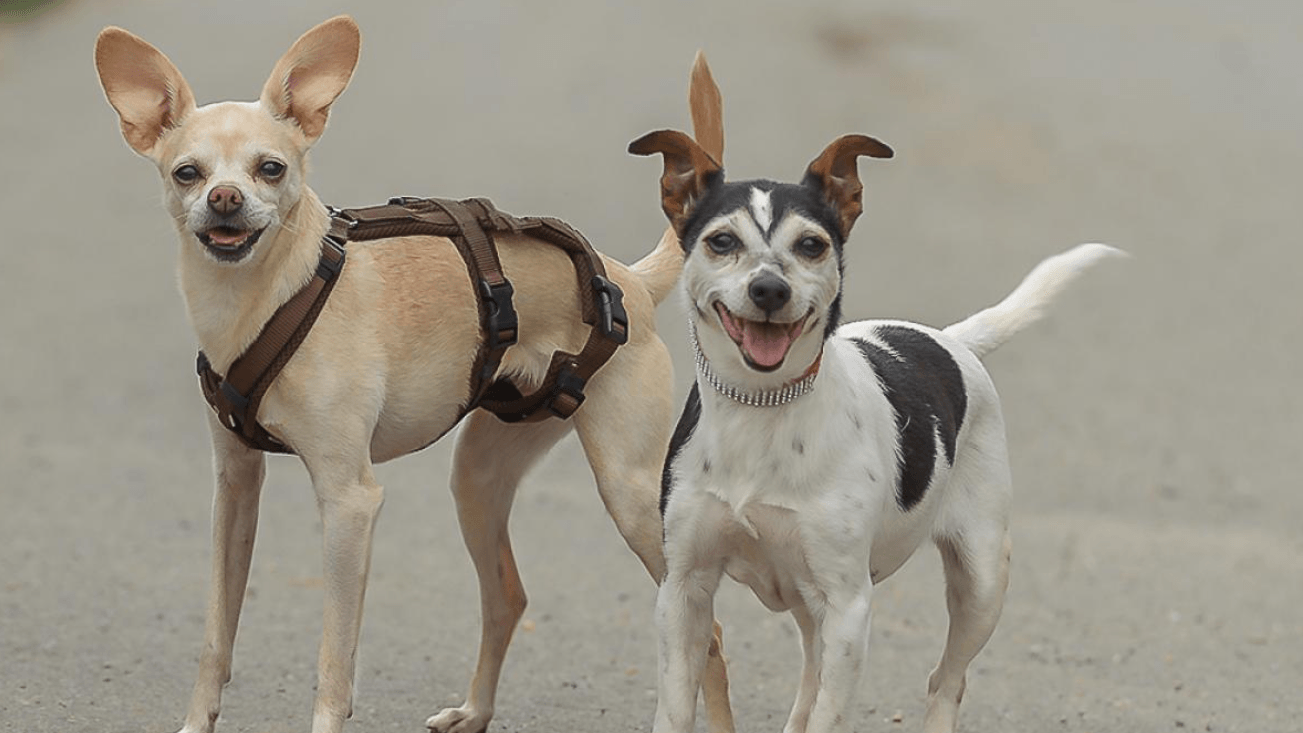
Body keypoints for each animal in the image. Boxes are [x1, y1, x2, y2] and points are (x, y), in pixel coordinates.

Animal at [630, 106, 1120, 729]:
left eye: (811, 245)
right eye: (722, 240)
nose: (769, 289)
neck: (762, 409)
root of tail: (950, 339)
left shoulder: (849, 607)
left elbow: (831, 715)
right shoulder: (683, 591)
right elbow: (677, 706)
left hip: (982, 577)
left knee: (945, 681)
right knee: (812, 675)